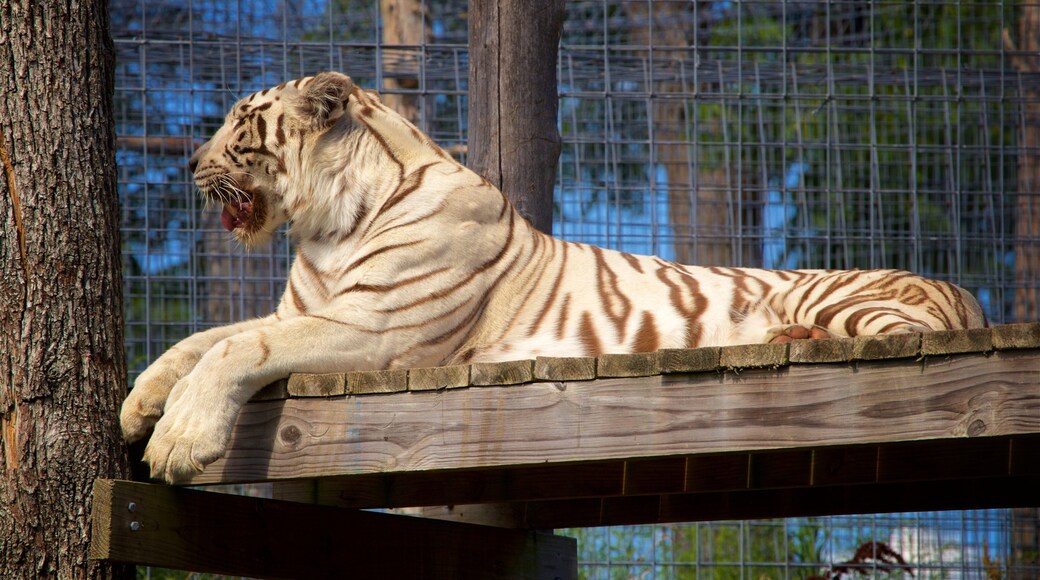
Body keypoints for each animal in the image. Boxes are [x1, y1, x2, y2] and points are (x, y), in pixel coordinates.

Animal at [120, 71, 987, 483]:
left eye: (239, 122)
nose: (189, 164)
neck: (324, 229)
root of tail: (967, 291)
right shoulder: (300, 311)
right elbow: (200, 339)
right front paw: (138, 405)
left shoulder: (376, 331)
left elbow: (235, 351)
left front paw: (178, 442)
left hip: (848, 299)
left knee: (885, 337)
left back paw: (790, 334)